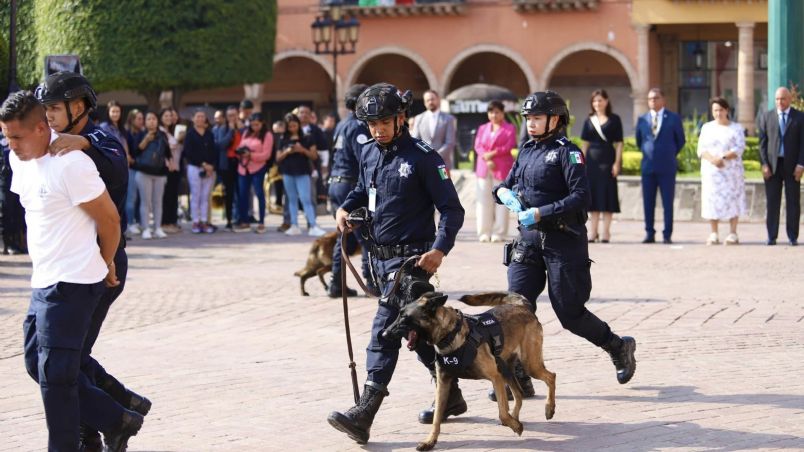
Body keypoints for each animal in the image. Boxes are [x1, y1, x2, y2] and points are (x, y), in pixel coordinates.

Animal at [384, 292, 552, 450]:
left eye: (404, 317)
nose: (384, 334)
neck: (450, 335)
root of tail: (521, 306)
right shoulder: (443, 383)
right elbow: (436, 418)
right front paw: (430, 441)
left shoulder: (495, 377)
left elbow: (502, 413)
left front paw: (515, 425)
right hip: (506, 370)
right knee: (519, 393)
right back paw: (516, 417)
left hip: (530, 365)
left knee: (551, 377)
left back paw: (549, 409)